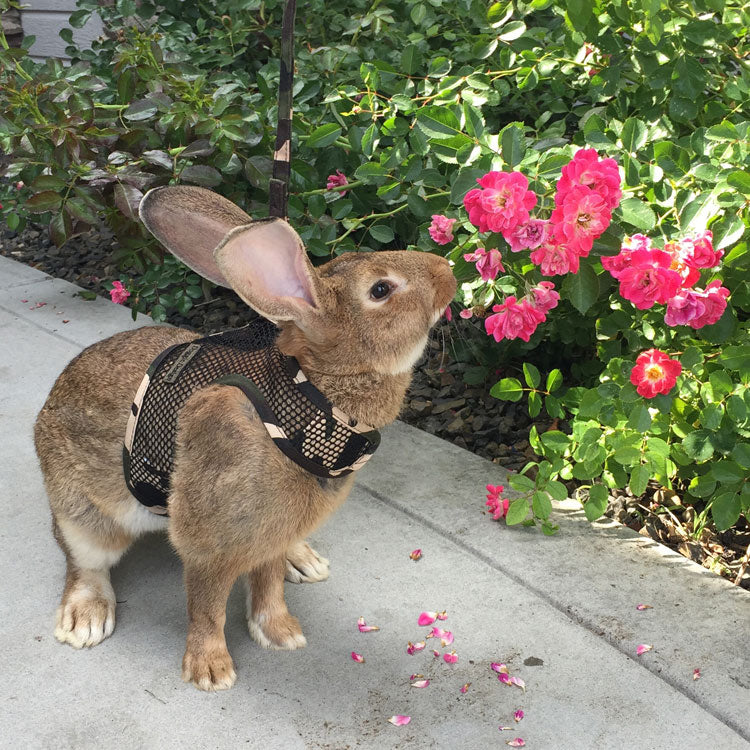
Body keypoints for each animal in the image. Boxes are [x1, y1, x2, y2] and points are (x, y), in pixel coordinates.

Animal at [33, 185, 458, 692]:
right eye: (381, 289)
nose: (447, 271)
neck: (308, 395)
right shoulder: (211, 539)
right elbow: (208, 605)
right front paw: (210, 670)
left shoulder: (273, 532)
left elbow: (268, 581)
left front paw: (280, 633)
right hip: (84, 513)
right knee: (83, 558)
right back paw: (85, 619)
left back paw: (305, 561)